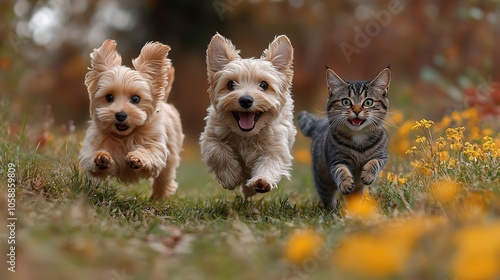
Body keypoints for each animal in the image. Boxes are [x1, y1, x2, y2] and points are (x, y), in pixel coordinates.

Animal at [80, 39, 184, 199]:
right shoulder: (93, 145)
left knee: (164, 177)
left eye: (135, 98)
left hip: (172, 153)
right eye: (109, 97)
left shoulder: (157, 147)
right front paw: (101, 158)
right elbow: (92, 158)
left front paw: (136, 158)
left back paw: (158, 196)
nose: (121, 115)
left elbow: (150, 153)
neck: (123, 136)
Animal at [200, 33, 296, 197]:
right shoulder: (210, 137)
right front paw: (230, 177)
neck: (247, 136)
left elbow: (270, 162)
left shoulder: (276, 147)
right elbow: (218, 151)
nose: (245, 100)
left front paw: (261, 181)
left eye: (264, 85)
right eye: (230, 84)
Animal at [296, 66, 390, 208]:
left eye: (368, 102)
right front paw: (346, 183)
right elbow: (341, 171)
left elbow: (374, 163)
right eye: (346, 101)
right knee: (327, 198)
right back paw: (332, 208)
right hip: (323, 181)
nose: (356, 110)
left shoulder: (381, 156)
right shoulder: (337, 159)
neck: (358, 138)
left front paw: (367, 175)